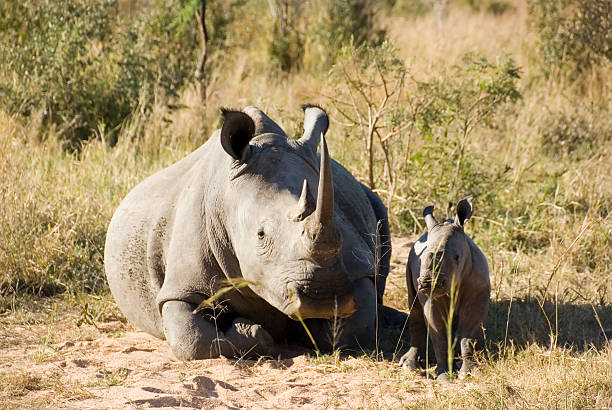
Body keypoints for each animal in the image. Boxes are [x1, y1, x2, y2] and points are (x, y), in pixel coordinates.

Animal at [400, 197, 490, 380]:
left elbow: (468, 336)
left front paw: (468, 373)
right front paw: (444, 376)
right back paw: (410, 366)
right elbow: (438, 334)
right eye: (423, 258)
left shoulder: (478, 295)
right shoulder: (430, 300)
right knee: (414, 308)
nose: (428, 283)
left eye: (457, 257)